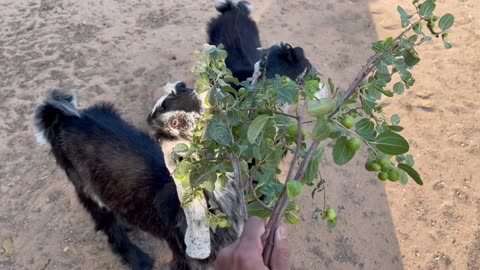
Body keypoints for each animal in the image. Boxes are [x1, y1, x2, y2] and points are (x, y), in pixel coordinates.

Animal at [35, 88, 244, 270]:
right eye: (175, 122)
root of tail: (63, 118)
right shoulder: (185, 258)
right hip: (85, 187)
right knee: (108, 226)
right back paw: (137, 259)